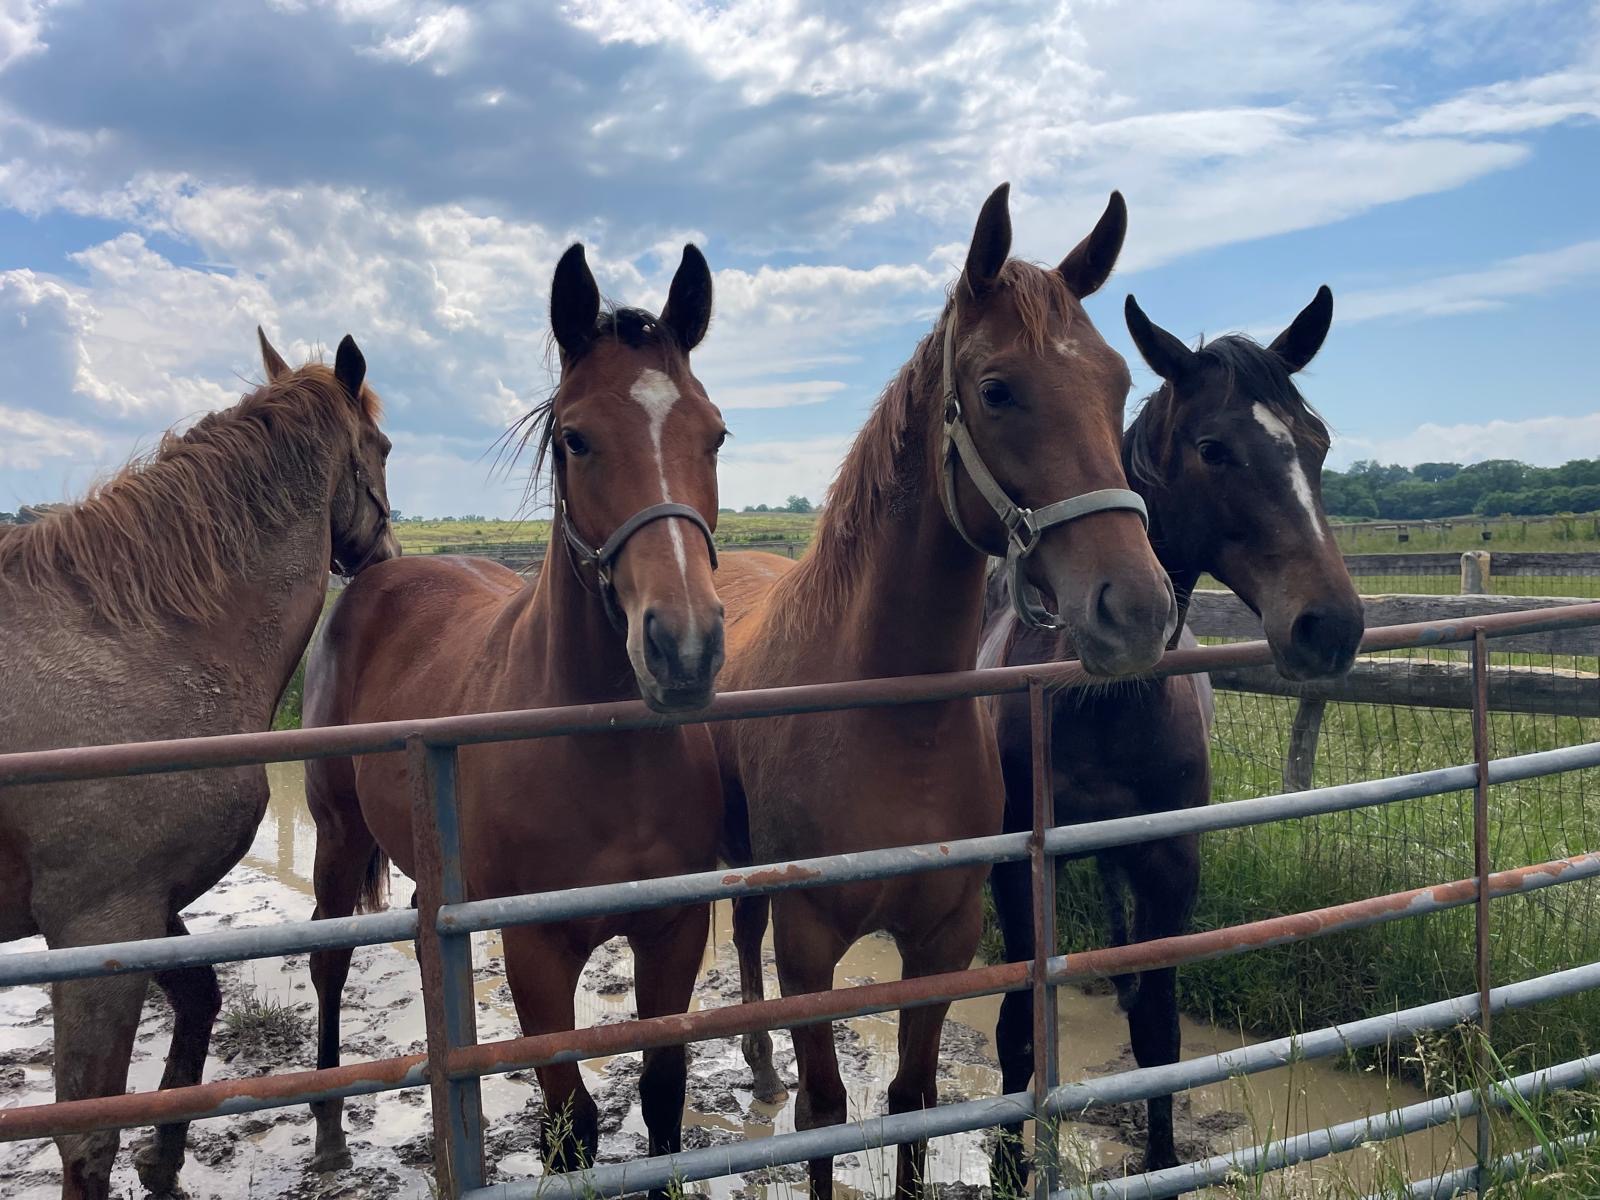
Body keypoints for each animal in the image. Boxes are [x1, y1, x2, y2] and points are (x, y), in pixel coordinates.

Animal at [0, 331, 396, 1200]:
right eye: (383, 447)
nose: (384, 558)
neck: (146, 637)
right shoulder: (99, 922)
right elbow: (86, 1135)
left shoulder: (141, 907)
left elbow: (201, 998)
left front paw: (165, 1156)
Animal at [299, 243, 726, 1190]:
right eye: (576, 437)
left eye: (714, 433)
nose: (684, 648)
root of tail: (374, 576)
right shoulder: (536, 954)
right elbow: (572, 1124)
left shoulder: (674, 932)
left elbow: (664, 1098)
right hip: (338, 834)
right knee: (328, 957)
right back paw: (330, 1124)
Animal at [713, 184, 1177, 1199]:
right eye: (998, 389)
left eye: (1119, 383)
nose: (1137, 609)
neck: (892, 721)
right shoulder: (811, 943)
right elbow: (824, 1114)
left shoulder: (944, 939)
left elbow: (913, 1101)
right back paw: (756, 1063)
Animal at [981, 286, 1365, 1187]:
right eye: (1213, 449)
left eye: (1318, 445)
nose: (1331, 625)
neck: (1098, 699)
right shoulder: (1020, 866)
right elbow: (1018, 1023)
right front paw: (1008, 1163)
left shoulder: (1170, 860)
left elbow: (1159, 1032)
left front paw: (1159, 1160)